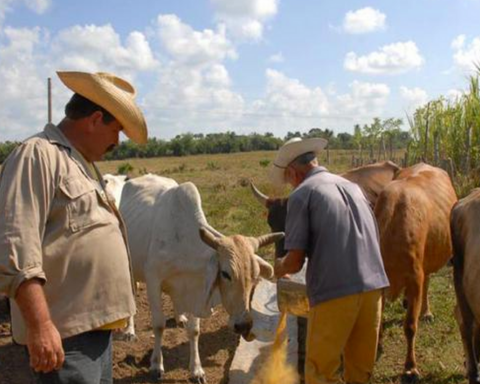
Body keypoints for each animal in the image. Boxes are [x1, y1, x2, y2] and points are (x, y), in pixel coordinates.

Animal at [120, 175, 284, 384]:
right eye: (225, 274)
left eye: (255, 276)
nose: (244, 325)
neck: (183, 243)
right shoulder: (153, 280)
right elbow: (158, 325)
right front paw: (156, 365)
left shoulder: (197, 287)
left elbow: (194, 331)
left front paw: (196, 370)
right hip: (129, 263)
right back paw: (129, 331)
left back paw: (179, 317)